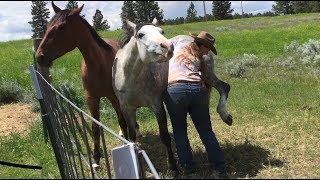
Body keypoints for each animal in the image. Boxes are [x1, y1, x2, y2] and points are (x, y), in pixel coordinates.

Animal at [35, 1, 129, 168]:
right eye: (47, 26)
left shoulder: (114, 98)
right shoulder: (91, 98)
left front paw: (127, 141)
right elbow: (95, 127)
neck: (99, 65)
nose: (39, 56)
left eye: (61, 27)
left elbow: (122, 120)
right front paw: (96, 157)